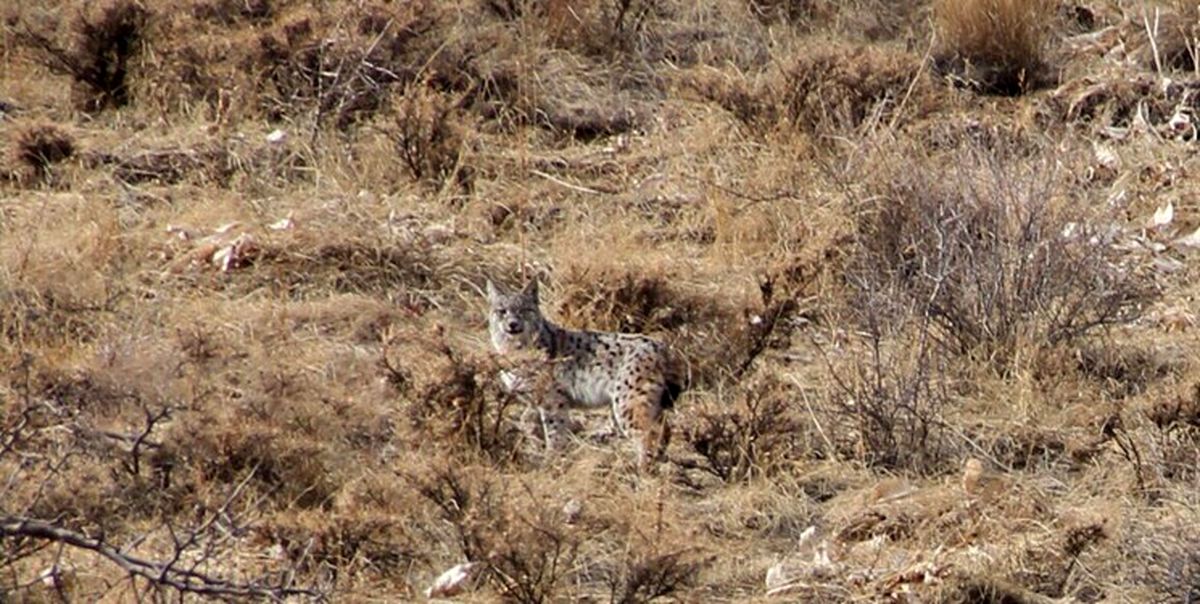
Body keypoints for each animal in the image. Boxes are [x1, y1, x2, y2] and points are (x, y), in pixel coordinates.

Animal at [484, 279, 676, 473]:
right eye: (502, 311)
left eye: (524, 310)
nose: (513, 324)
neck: (514, 347)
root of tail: (660, 345)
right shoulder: (534, 398)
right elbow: (526, 420)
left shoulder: (553, 399)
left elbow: (554, 431)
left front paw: (550, 461)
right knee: (664, 427)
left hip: (627, 400)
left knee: (648, 432)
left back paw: (642, 469)